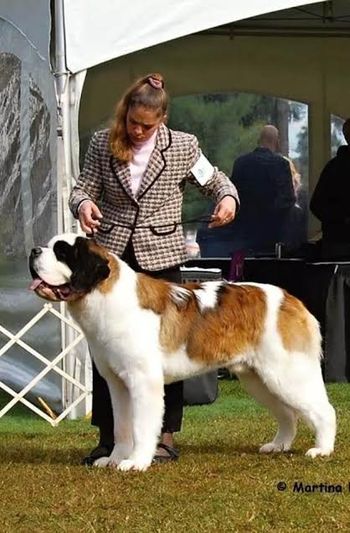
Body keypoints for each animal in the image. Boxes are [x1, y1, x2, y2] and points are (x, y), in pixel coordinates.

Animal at [29, 233, 336, 470]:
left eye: (62, 252)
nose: (33, 250)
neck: (105, 294)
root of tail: (292, 300)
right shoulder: (118, 384)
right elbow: (121, 426)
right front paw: (115, 460)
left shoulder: (143, 381)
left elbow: (141, 425)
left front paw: (136, 462)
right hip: (259, 379)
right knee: (288, 414)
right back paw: (279, 445)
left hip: (286, 373)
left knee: (324, 410)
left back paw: (322, 449)